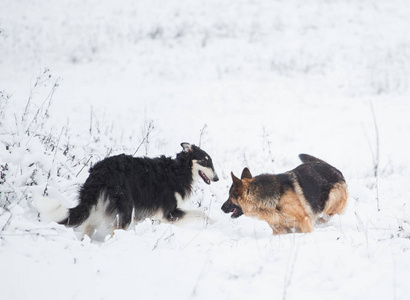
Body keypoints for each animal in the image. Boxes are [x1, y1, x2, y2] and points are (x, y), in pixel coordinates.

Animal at [36, 142, 219, 238]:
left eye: (210, 161)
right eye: (204, 161)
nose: (217, 178)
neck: (179, 170)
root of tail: (100, 170)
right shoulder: (170, 214)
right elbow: (201, 213)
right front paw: (214, 223)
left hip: (99, 207)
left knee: (88, 228)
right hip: (125, 209)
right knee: (115, 232)